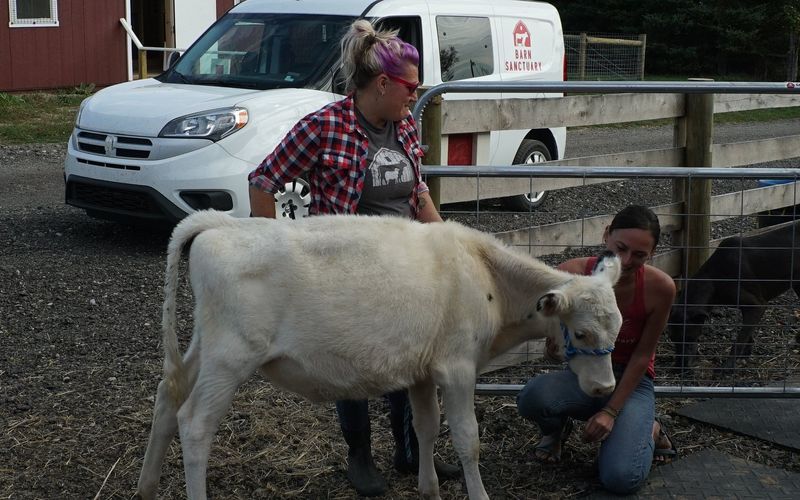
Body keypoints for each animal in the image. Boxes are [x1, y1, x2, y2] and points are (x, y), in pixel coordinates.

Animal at [136, 211, 624, 500]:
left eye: (618, 329)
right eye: (581, 331)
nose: (605, 387)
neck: (484, 273)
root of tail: (219, 224)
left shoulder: (424, 371)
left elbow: (426, 427)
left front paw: (428, 488)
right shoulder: (458, 366)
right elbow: (467, 438)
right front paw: (478, 494)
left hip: (206, 345)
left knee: (167, 396)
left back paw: (146, 487)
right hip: (231, 355)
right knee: (194, 423)